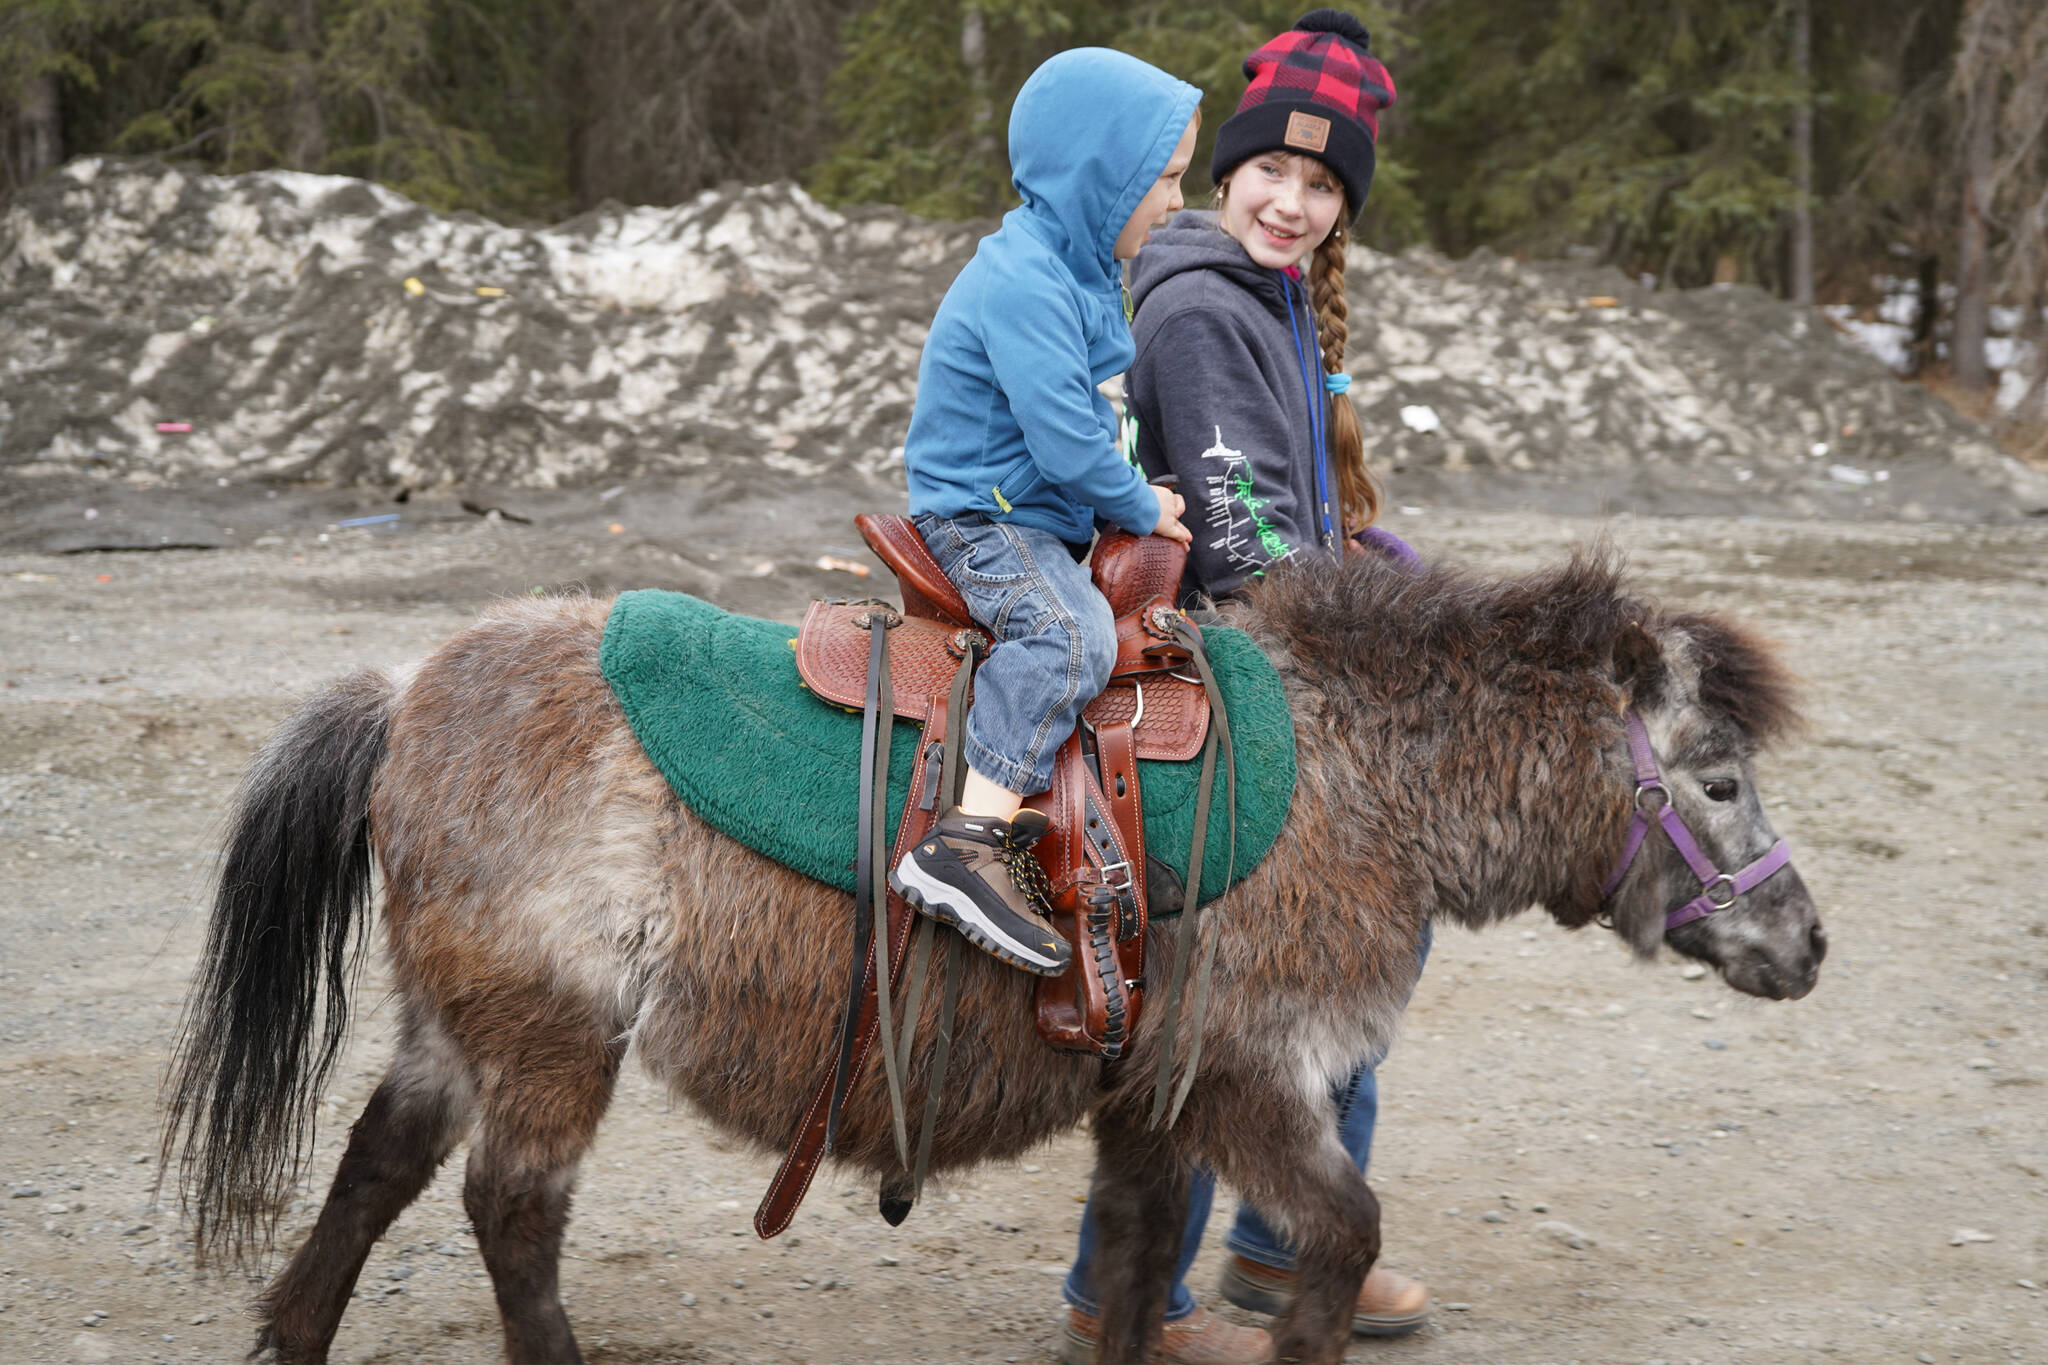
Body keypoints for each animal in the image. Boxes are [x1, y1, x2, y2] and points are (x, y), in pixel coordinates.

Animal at [163, 548, 1826, 1365]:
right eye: (1719, 774)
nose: (1808, 942)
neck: (1354, 777)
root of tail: (408, 688)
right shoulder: (1252, 1082)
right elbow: (1338, 1237)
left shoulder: (1154, 1101)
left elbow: (1142, 1262)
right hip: (554, 1036)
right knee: (510, 1214)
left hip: (461, 1023)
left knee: (378, 1164)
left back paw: (291, 1341)